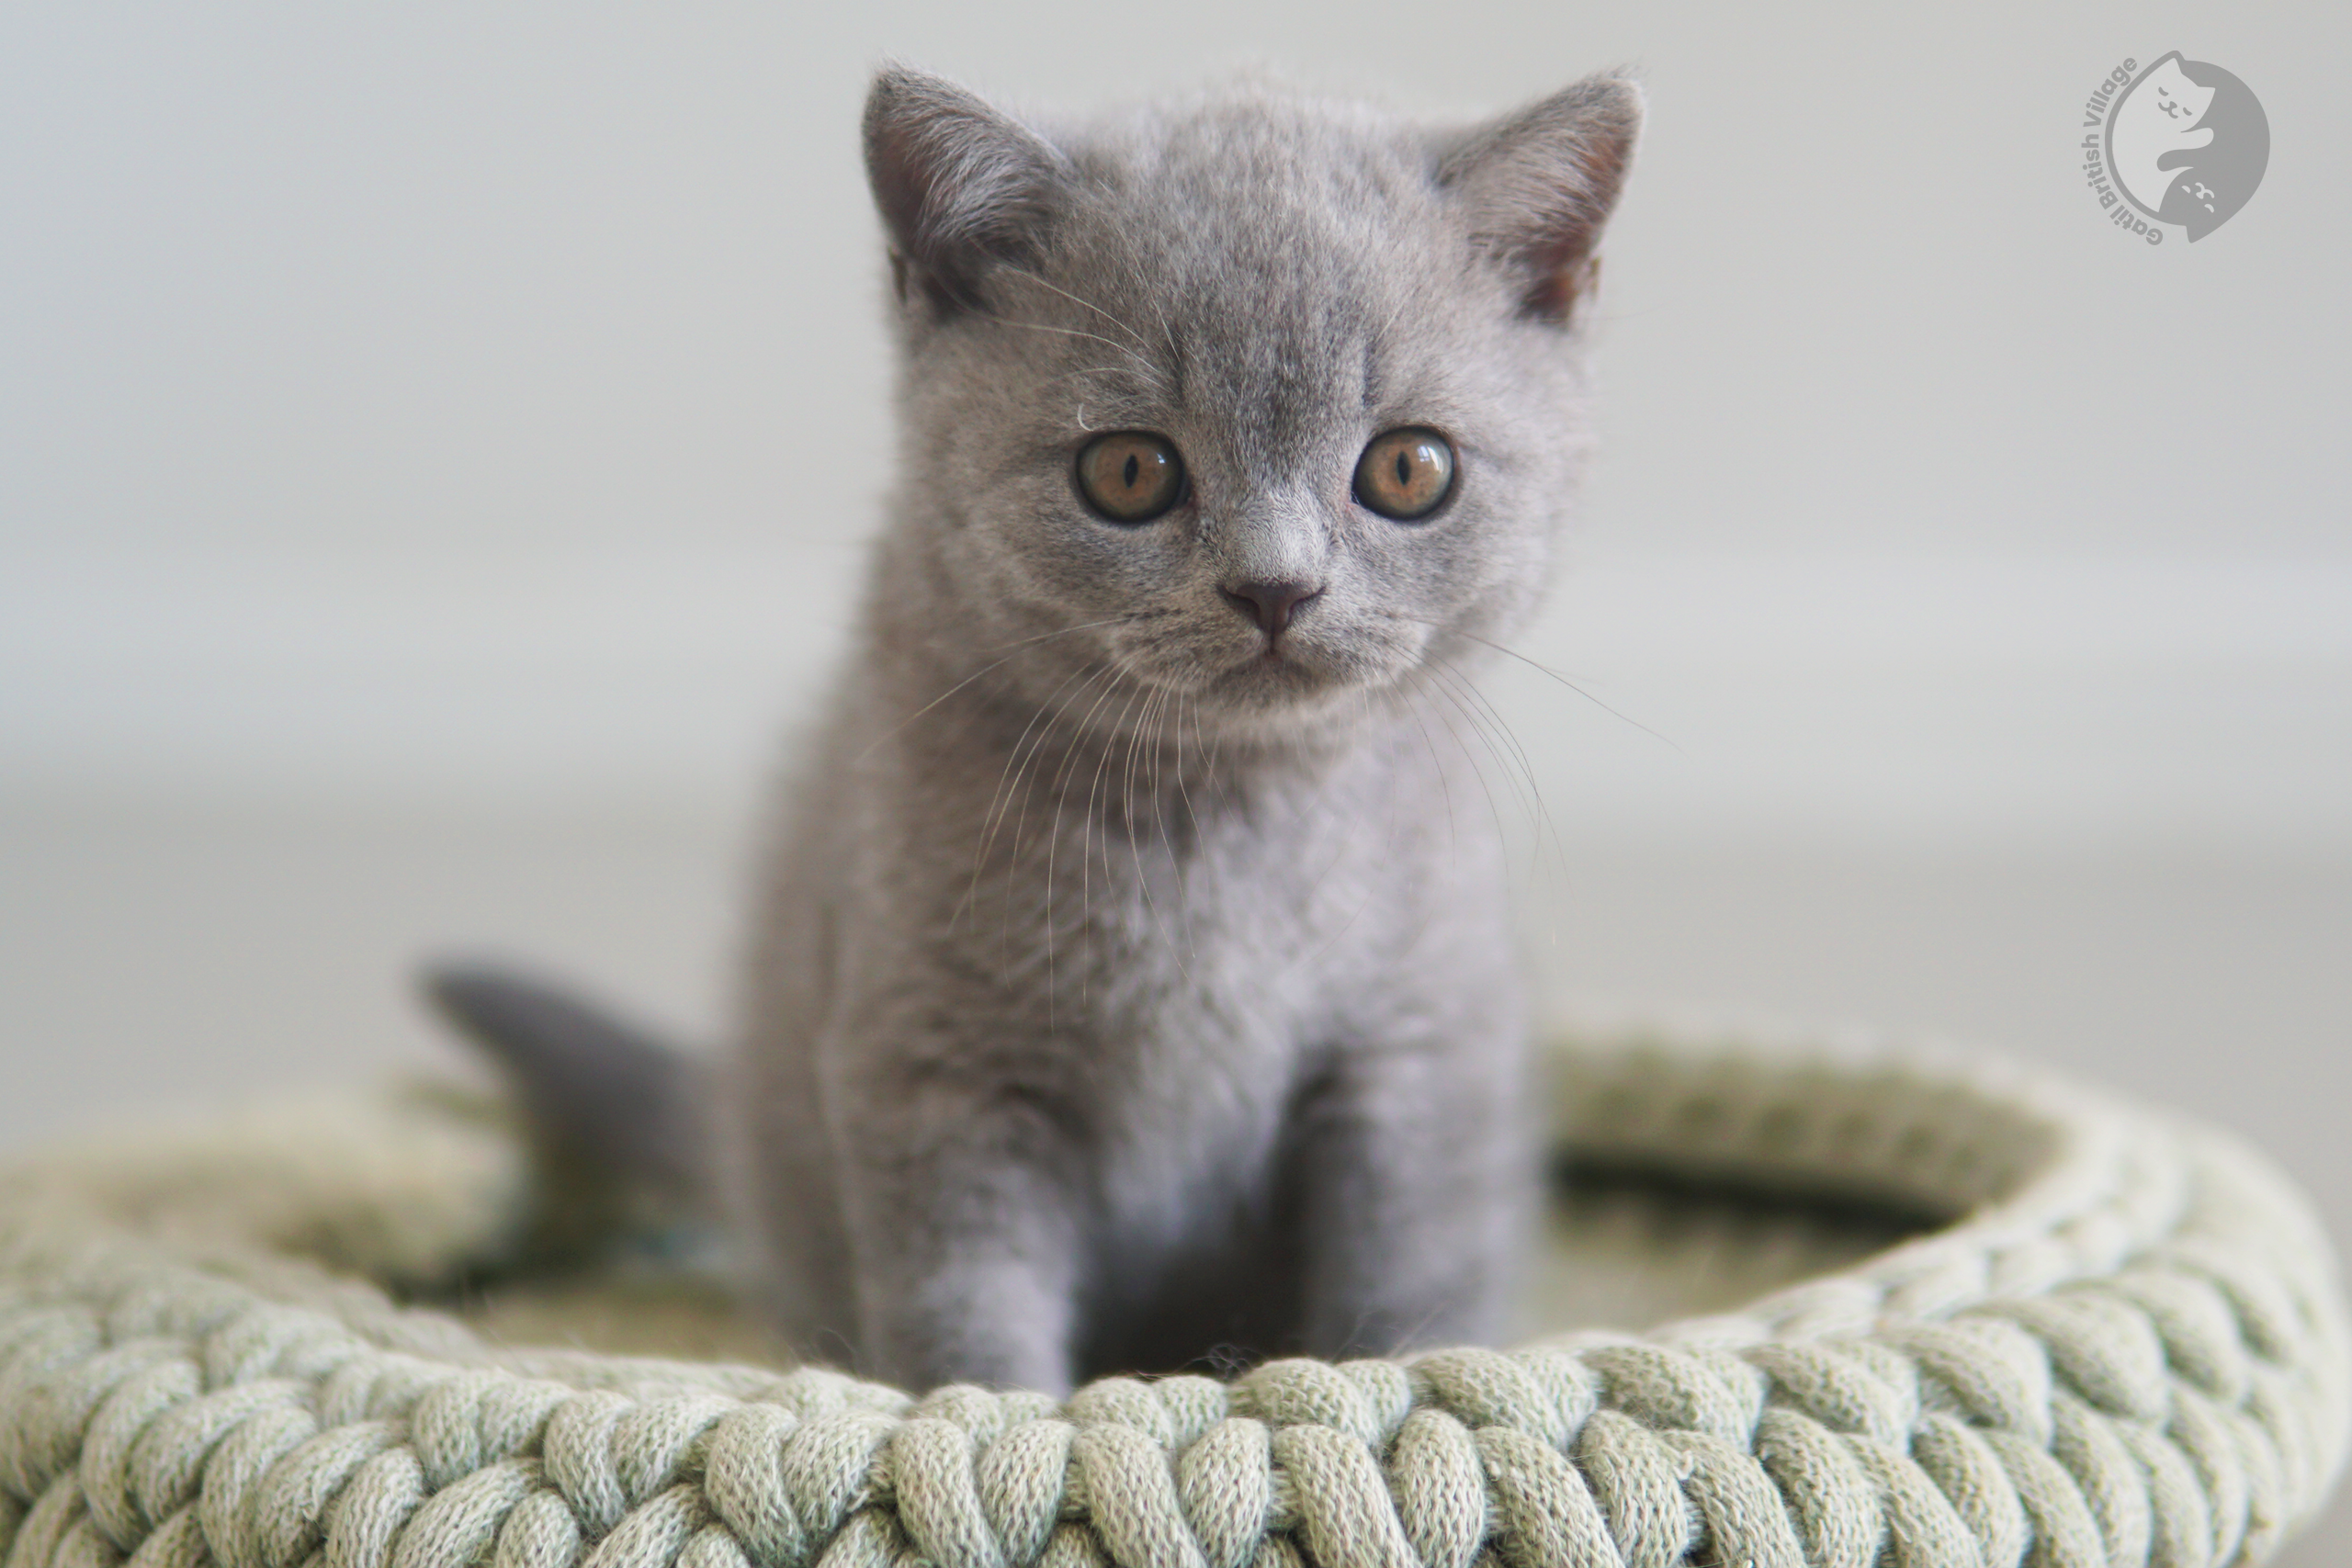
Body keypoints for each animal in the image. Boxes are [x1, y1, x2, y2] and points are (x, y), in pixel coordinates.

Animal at [427, 58, 1636, 1401]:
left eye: (1410, 470)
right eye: (1128, 472)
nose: (1276, 589)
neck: (1225, 827)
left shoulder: (1417, 1055)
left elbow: (1407, 1276)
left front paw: (1395, 1385)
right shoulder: (936, 1064)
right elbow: (965, 1300)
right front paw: (994, 1416)